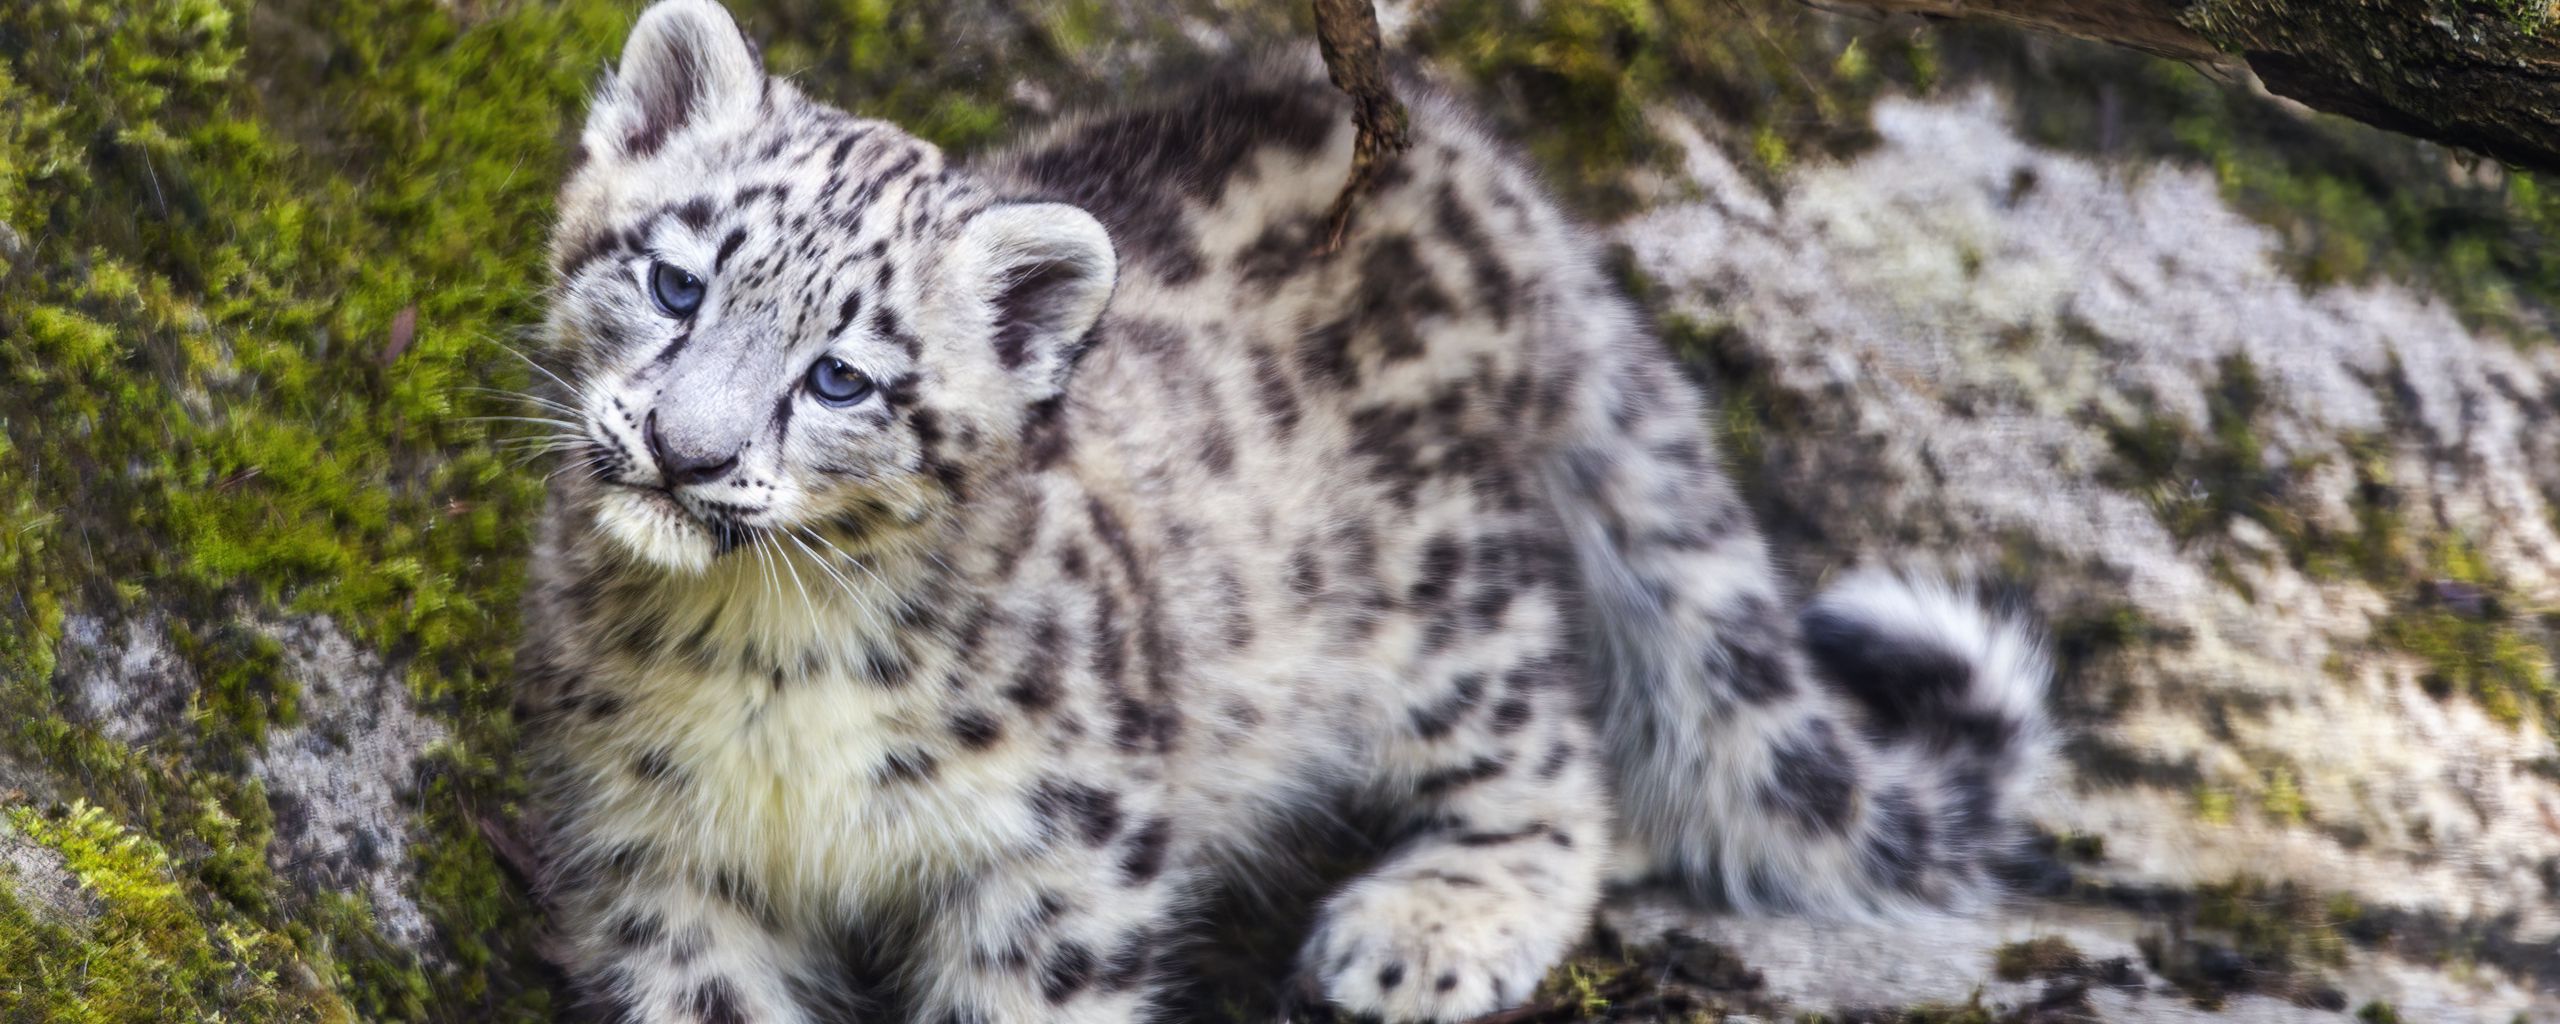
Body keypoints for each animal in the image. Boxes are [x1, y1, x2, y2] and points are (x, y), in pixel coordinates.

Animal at [511, 2, 2056, 1021]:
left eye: (841, 376)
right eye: (673, 282)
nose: (687, 451)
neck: (764, 657)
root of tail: (1494, 186)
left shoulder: (1064, 852)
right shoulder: (656, 857)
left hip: (1440, 601)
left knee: (1559, 761)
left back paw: (1427, 927)